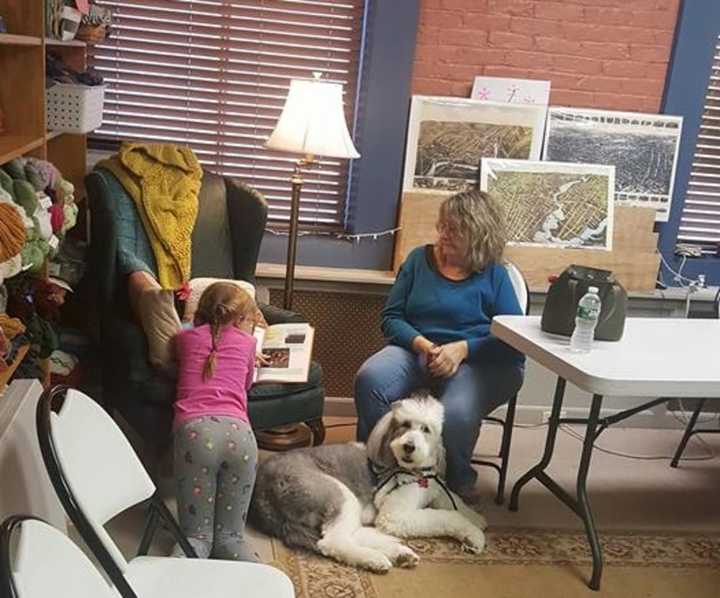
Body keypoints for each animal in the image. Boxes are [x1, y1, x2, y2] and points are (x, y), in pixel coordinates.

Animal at [250, 396, 486, 576]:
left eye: (426, 429)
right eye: (404, 425)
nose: (409, 446)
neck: (416, 472)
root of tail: (263, 493)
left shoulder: (435, 489)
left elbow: (455, 502)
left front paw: (476, 519)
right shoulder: (394, 517)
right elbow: (446, 516)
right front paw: (473, 533)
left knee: (350, 534)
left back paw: (400, 554)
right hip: (338, 494)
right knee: (333, 541)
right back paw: (374, 559)